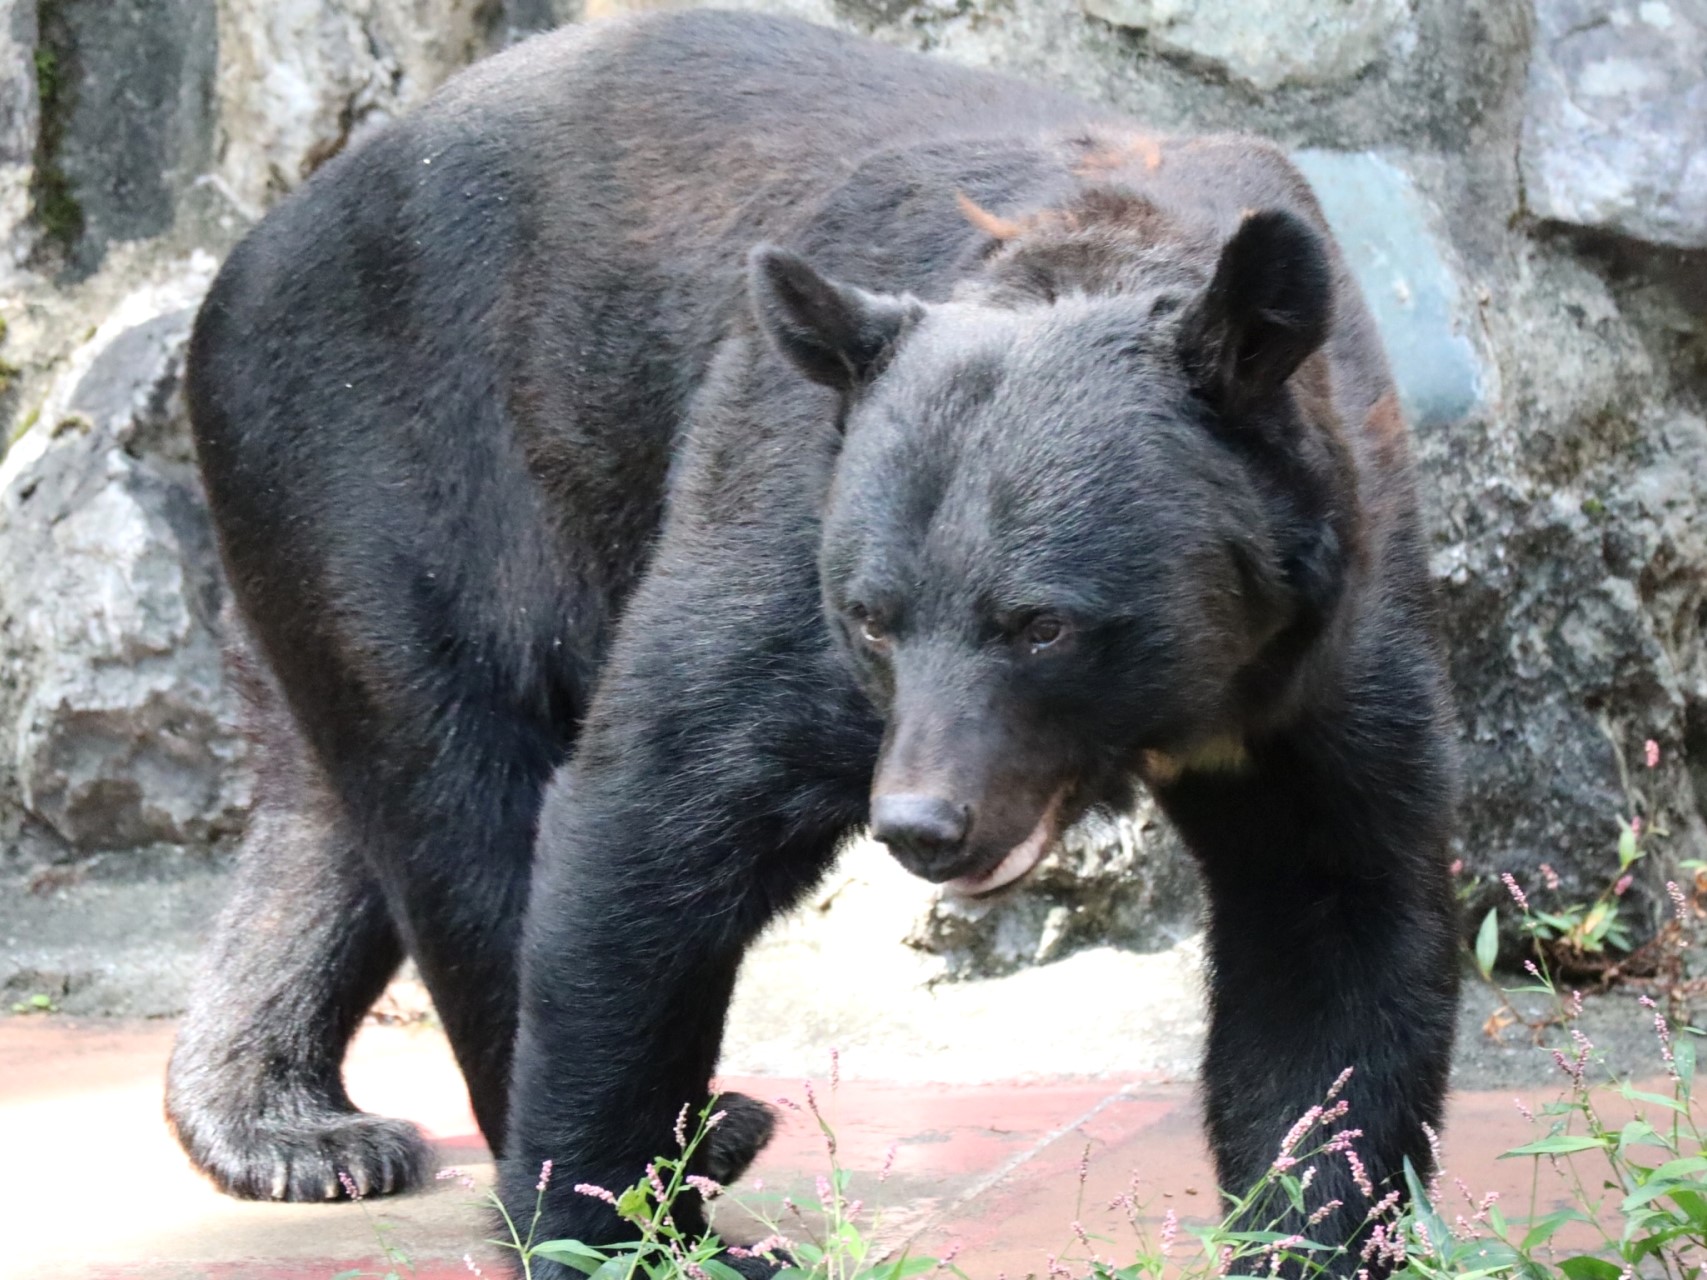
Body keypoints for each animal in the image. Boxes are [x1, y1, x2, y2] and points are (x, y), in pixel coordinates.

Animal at [166, 7, 1461, 1276]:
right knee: (460, 803)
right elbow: (657, 810)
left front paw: (1311, 1224)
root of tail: (243, 258)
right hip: (390, 469)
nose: (924, 823)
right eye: (872, 616)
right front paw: (630, 1232)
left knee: (331, 812)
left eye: (1043, 623)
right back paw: (689, 1132)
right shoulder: (788, 514)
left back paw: (281, 1120)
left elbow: (1332, 921)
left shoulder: (1335, 632)